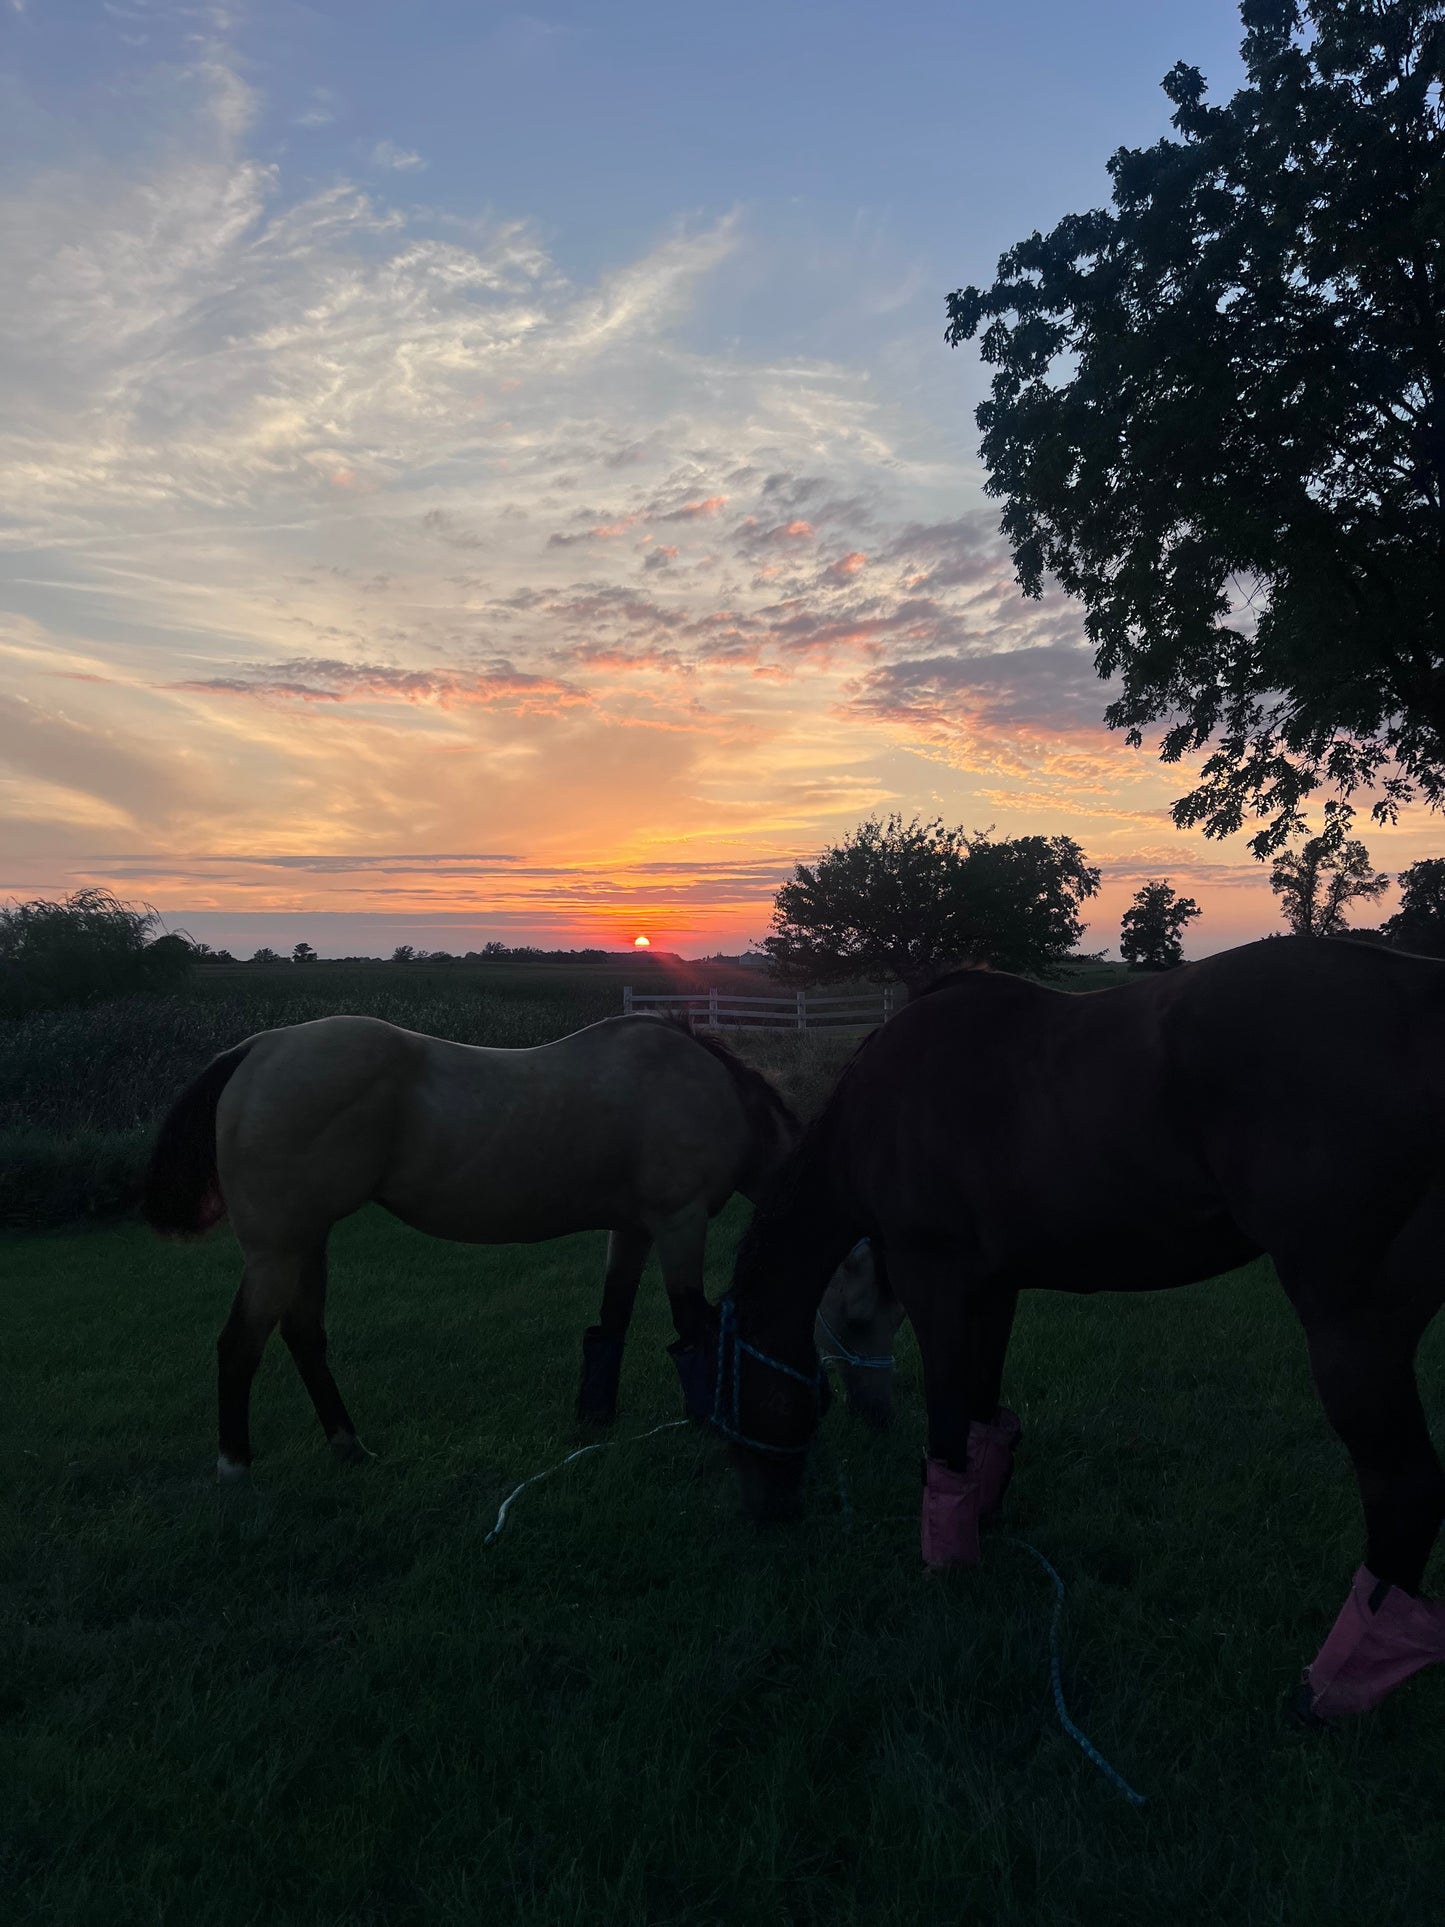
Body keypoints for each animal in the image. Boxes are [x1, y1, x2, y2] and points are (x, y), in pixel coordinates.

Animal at [142, 1009, 809, 1472]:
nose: (817, 1408)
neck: (704, 1089)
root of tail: (257, 1047)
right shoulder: (679, 1221)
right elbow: (694, 1323)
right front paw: (712, 1423)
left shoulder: (635, 1229)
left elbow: (612, 1320)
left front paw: (596, 1419)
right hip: (277, 1251)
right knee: (240, 1346)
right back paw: (236, 1466)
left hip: (306, 1243)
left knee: (304, 1338)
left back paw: (350, 1448)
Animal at [720, 940, 1445, 1726]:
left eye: (734, 1406)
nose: (765, 1515)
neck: (876, 1107)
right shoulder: (991, 1287)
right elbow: (982, 1414)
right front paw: (981, 1518)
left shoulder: (935, 1280)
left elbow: (946, 1423)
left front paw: (944, 1562)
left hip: (1353, 1329)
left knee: (1404, 1489)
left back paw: (1334, 1688)